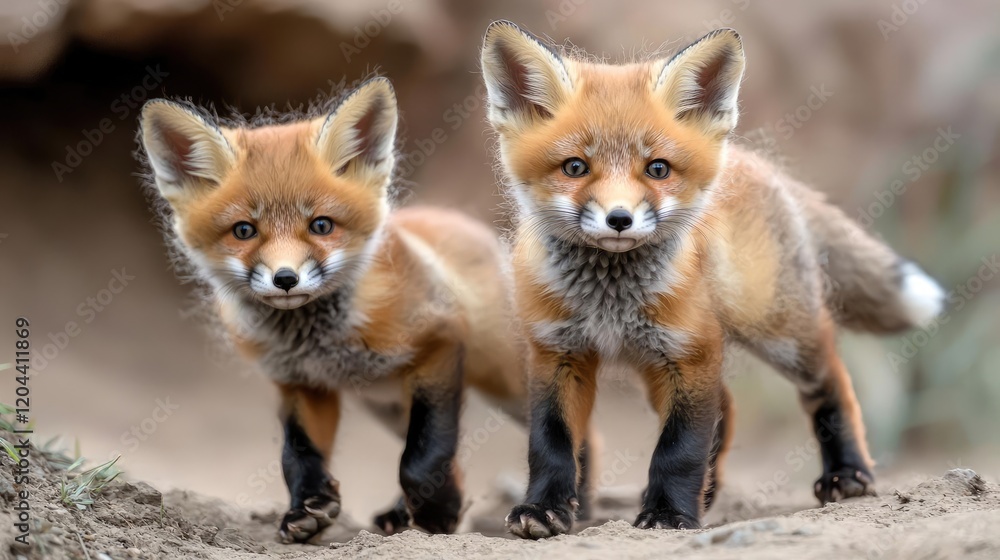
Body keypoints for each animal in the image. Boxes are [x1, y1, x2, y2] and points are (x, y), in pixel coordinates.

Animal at [137, 78, 527, 541]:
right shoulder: (301, 382)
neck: (320, 342)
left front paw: (439, 514)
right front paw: (307, 507)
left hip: (504, 380)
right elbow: (297, 454)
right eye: (244, 231)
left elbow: (421, 458)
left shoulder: (439, 345)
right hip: (390, 405)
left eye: (321, 225)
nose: (285, 278)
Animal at [480, 21, 946, 538]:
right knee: (728, 407)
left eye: (657, 169)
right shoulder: (556, 352)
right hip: (657, 363)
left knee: (829, 380)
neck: (610, 299)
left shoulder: (692, 353)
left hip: (775, 332)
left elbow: (680, 448)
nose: (619, 219)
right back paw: (710, 491)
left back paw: (847, 473)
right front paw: (544, 508)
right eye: (575, 167)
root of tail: (756, 162)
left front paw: (667, 515)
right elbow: (551, 442)